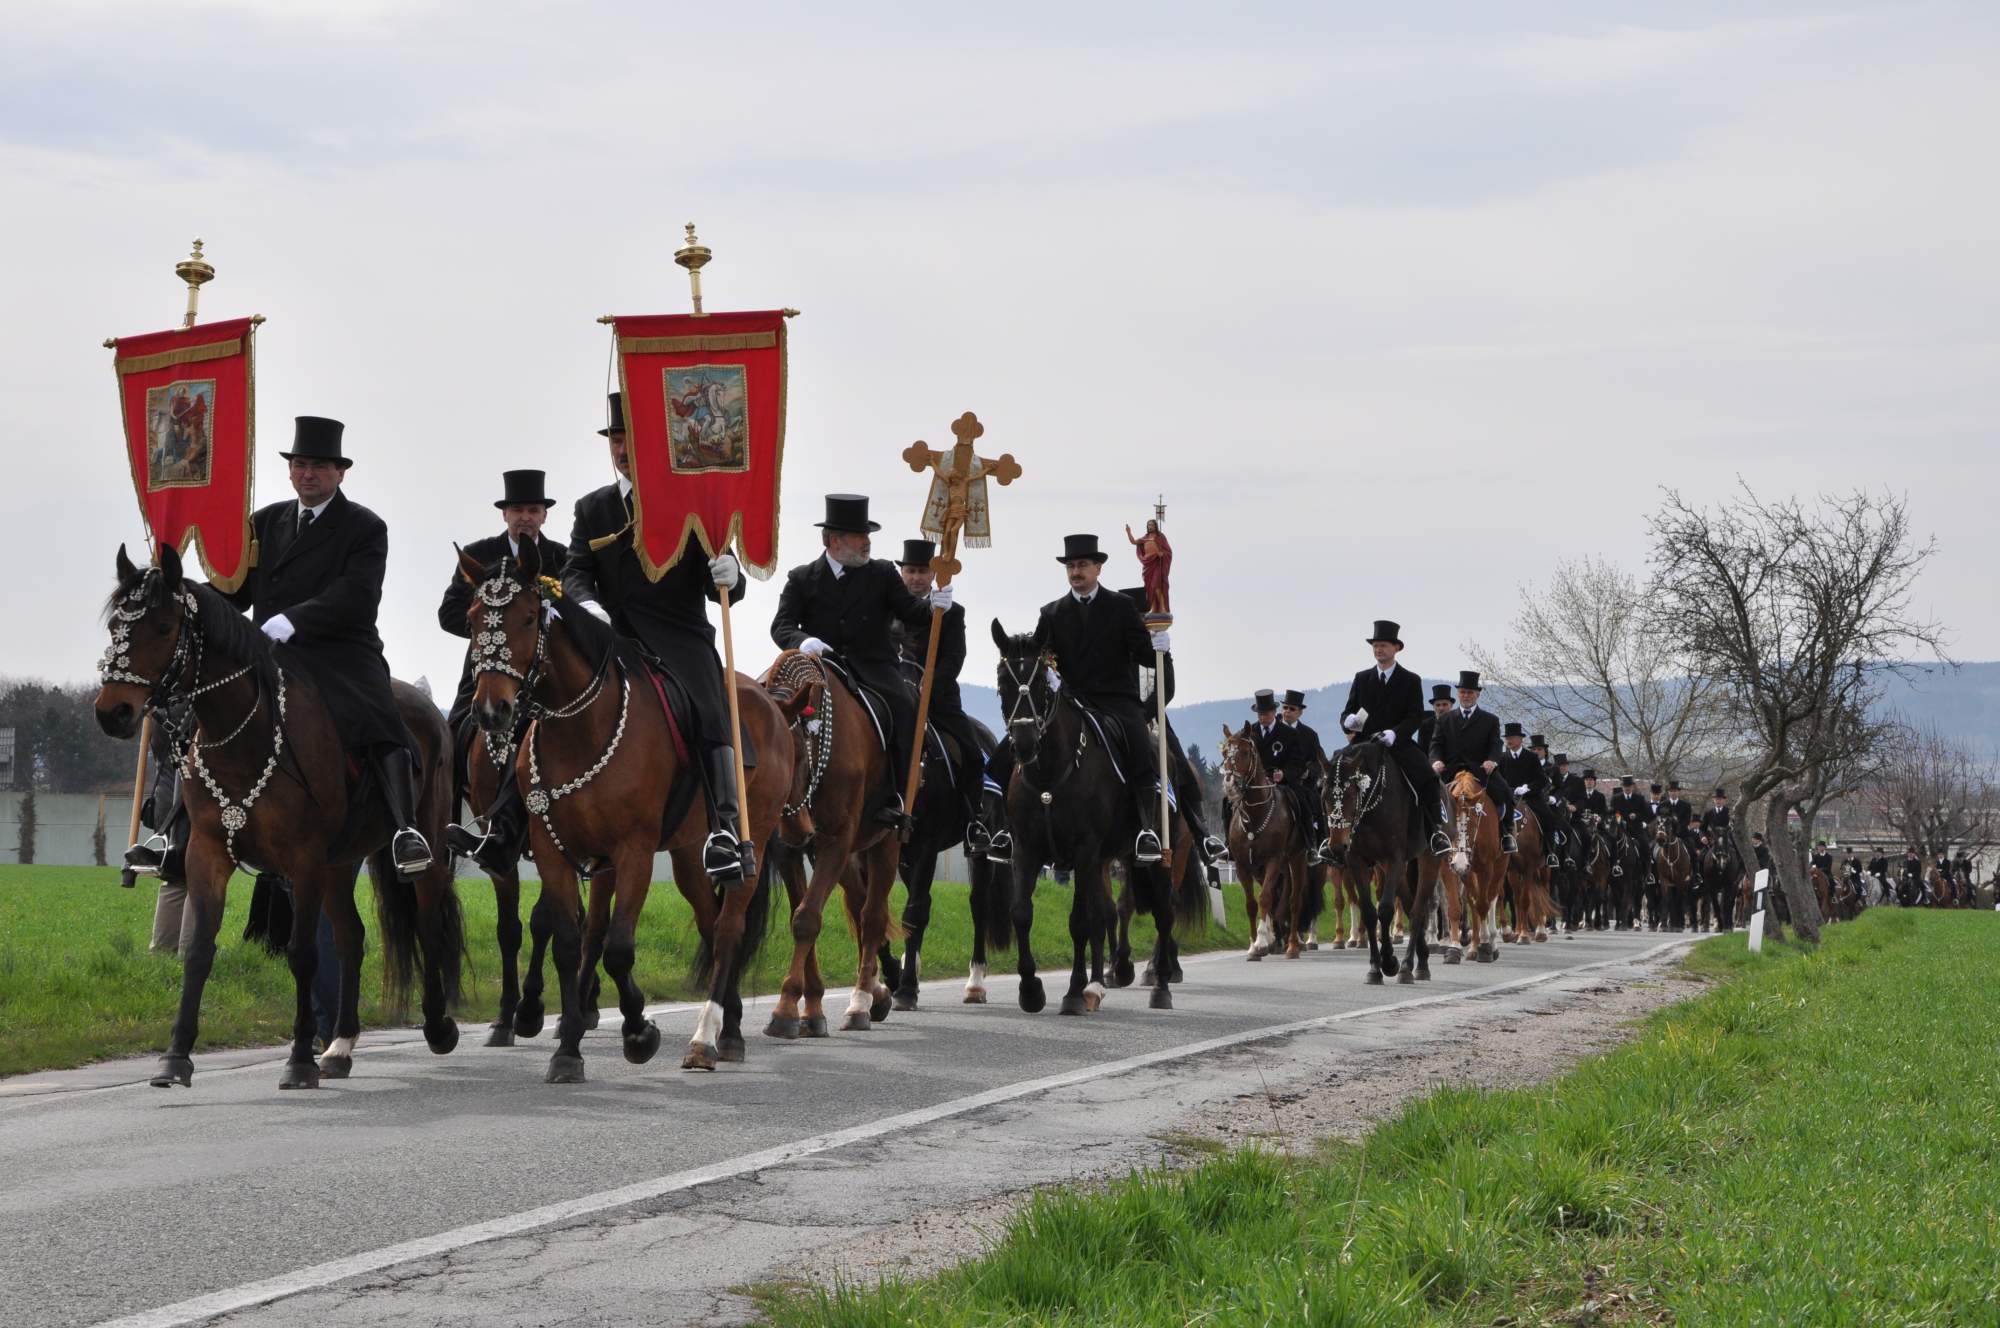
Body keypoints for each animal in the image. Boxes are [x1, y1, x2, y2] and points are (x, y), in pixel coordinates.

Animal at [98, 544, 468, 1088]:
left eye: (164, 627)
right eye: (114, 626)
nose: (112, 713)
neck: (243, 735)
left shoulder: (303, 860)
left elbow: (302, 952)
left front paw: (298, 1061)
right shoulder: (208, 854)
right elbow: (198, 950)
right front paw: (175, 1056)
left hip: (422, 847)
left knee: (426, 922)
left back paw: (438, 1027)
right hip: (339, 863)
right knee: (352, 938)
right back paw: (340, 1045)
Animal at [458, 548, 792, 1080]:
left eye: (528, 617)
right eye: (471, 619)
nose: (493, 711)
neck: (580, 728)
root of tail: (768, 702)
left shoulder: (632, 850)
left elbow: (616, 948)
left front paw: (638, 1031)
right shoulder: (554, 851)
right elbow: (568, 942)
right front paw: (567, 1047)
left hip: (750, 840)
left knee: (729, 928)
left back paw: (708, 1038)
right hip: (686, 853)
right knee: (708, 921)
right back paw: (731, 1026)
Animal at [756, 652, 900, 1040]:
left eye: (795, 755)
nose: (797, 830)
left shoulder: (836, 840)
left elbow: (807, 918)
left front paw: (785, 1010)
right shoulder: (792, 853)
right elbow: (800, 913)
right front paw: (810, 1008)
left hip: (885, 840)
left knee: (873, 915)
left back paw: (861, 1002)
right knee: (860, 903)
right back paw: (877, 992)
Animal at [988, 624, 1200, 1016]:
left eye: (1042, 685)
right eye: (1002, 683)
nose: (1023, 745)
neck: (1049, 775)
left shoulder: (1084, 851)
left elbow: (1080, 922)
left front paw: (1073, 992)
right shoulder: (1027, 850)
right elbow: (1022, 913)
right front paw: (1031, 989)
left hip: (1161, 857)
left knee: (1165, 912)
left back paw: (1159, 984)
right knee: (1115, 911)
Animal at [1208, 728, 1320, 964]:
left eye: (1244, 752)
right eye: (1224, 752)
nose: (1230, 786)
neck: (1256, 815)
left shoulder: (1273, 860)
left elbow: (1266, 898)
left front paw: (1260, 942)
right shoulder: (1243, 865)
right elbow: (1252, 903)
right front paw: (1254, 947)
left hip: (1296, 859)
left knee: (1294, 900)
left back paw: (1292, 946)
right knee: (1280, 898)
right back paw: (1277, 938)